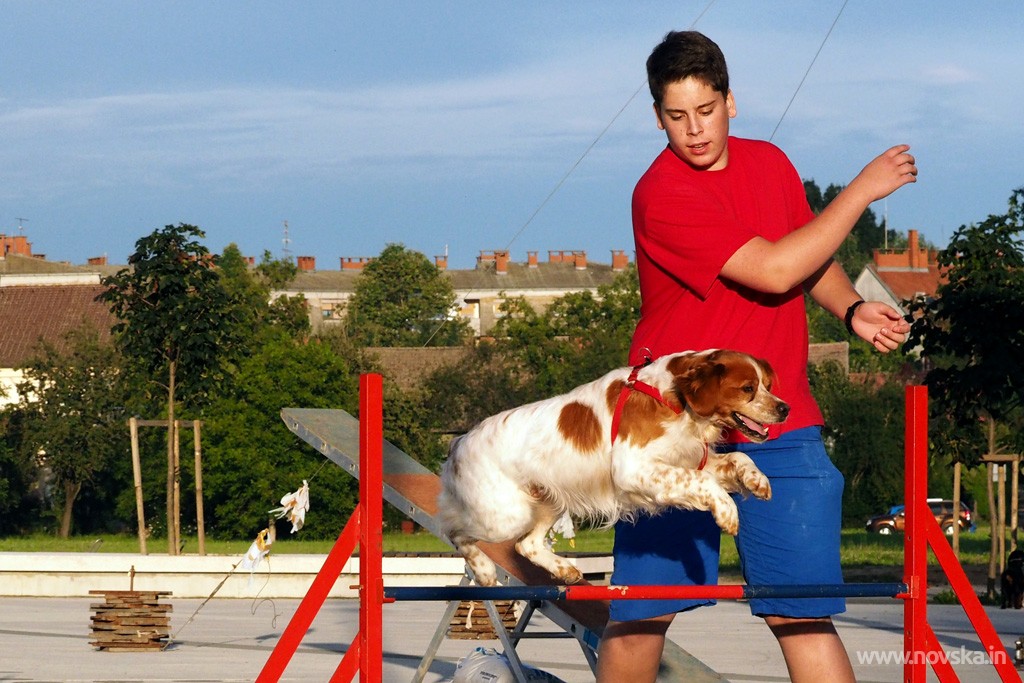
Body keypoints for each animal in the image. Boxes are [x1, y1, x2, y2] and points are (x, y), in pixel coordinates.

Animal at [437, 349, 790, 586]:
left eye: (767, 385)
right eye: (747, 388)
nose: (784, 409)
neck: (675, 398)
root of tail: (459, 443)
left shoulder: (688, 459)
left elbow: (737, 461)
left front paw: (757, 481)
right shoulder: (634, 468)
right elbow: (704, 483)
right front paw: (728, 512)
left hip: (546, 503)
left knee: (527, 544)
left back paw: (565, 569)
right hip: (503, 517)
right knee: (454, 531)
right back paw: (484, 571)